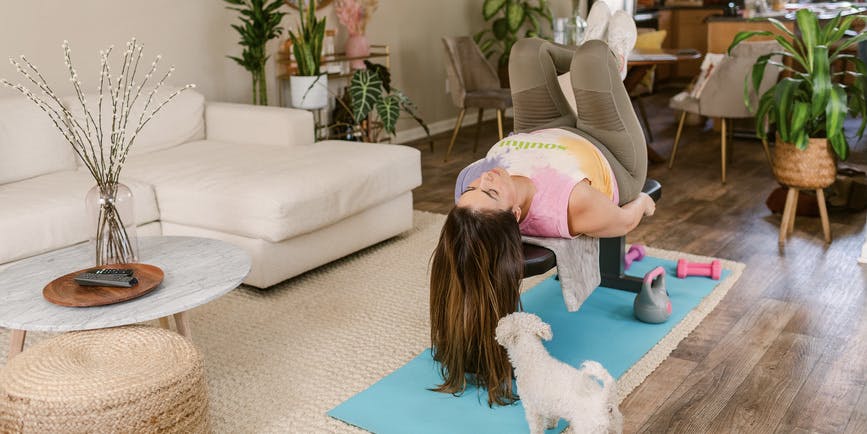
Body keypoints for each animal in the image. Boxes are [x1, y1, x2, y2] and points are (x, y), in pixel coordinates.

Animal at [496, 312, 624, 434]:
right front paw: (551, 425)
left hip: (588, 428)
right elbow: (553, 416)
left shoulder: (532, 408)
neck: (532, 356)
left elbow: (536, 427)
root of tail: (603, 399)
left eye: (509, 316)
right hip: (615, 425)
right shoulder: (550, 405)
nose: (499, 321)